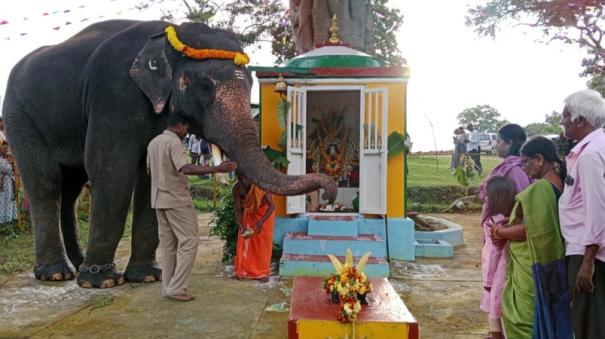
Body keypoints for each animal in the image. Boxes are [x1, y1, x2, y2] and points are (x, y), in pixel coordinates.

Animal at [2, 19, 338, 290]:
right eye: (206, 87)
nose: (332, 191)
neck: (167, 34)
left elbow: (150, 174)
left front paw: (146, 277)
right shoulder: (113, 94)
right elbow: (112, 169)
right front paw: (102, 283)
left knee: (71, 187)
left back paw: (76, 264)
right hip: (19, 116)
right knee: (45, 181)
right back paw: (57, 274)